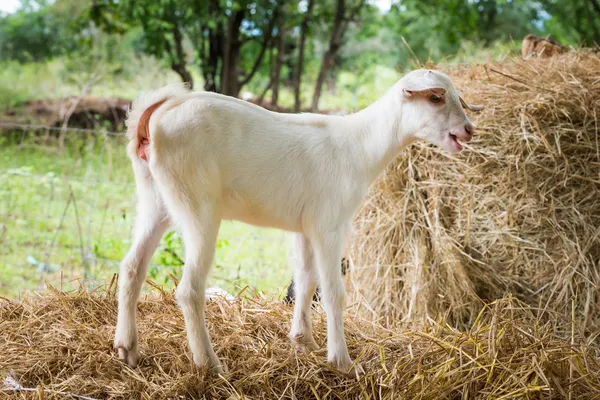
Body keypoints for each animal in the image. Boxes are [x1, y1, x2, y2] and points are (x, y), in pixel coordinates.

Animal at [115, 69, 486, 376]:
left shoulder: (305, 228)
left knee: (132, 266)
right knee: (189, 289)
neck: (361, 145)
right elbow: (333, 291)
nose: (469, 129)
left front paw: (302, 341)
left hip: (155, 200)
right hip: (198, 206)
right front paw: (342, 362)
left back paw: (127, 348)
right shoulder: (330, 226)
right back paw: (209, 364)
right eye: (436, 98)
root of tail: (160, 112)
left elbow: (305, 281)